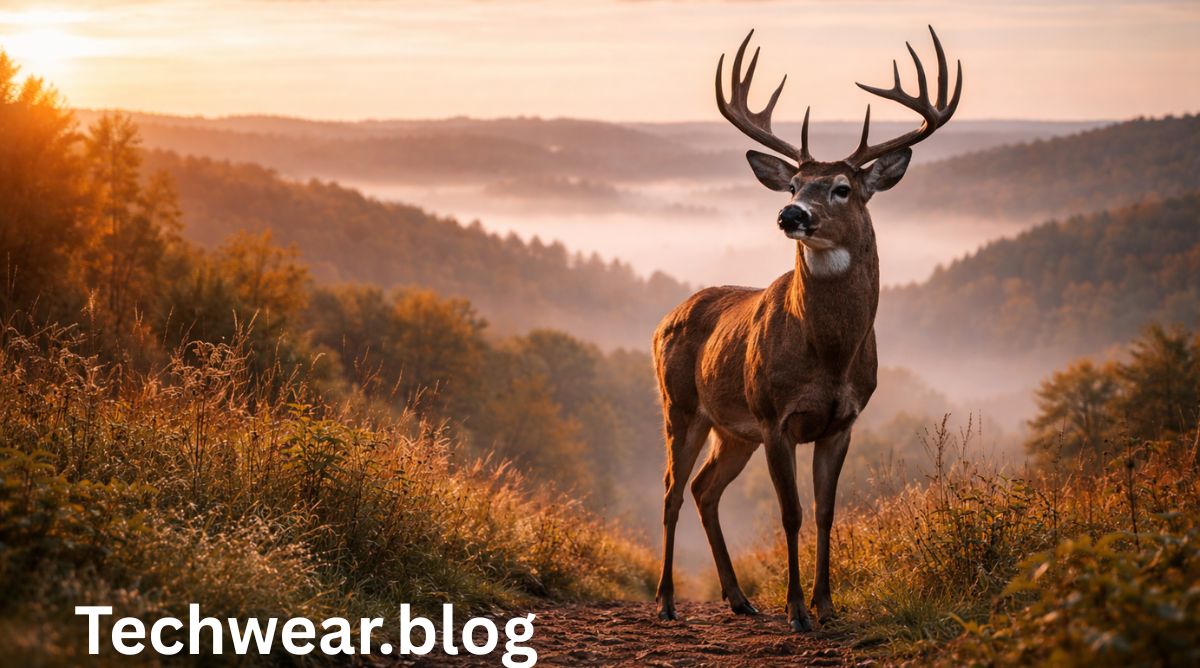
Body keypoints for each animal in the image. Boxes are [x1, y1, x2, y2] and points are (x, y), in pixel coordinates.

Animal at [653, 26, 961, 633]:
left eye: (842, 187)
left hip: (733, 430)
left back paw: (739, 598)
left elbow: (824, 511)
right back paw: (668, 600)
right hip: (682, 406)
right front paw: (796, 610)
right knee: (673, 491)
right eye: (792, 183)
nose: (791, 214)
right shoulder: (775, 415)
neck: (831, 356)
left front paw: (826, 605)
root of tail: (666, 318)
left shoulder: (842, 421)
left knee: (704, 489)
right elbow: (790, 512)